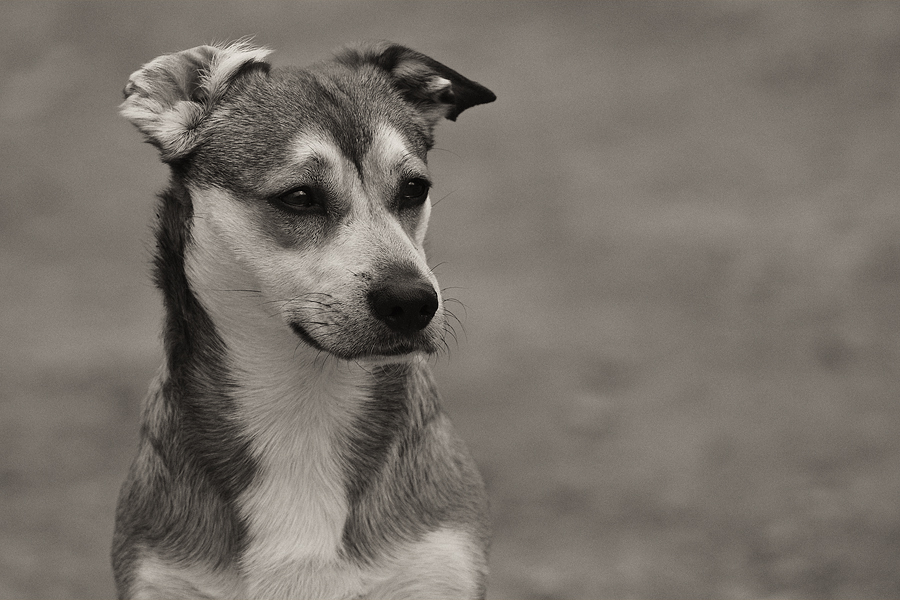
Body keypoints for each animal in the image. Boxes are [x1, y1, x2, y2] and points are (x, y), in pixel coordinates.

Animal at [112, 40, 495, 599]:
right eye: (299, 197)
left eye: (415, 188)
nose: (413, 301)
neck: (305, 408)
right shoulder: (161, 576)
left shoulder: (435, 568)